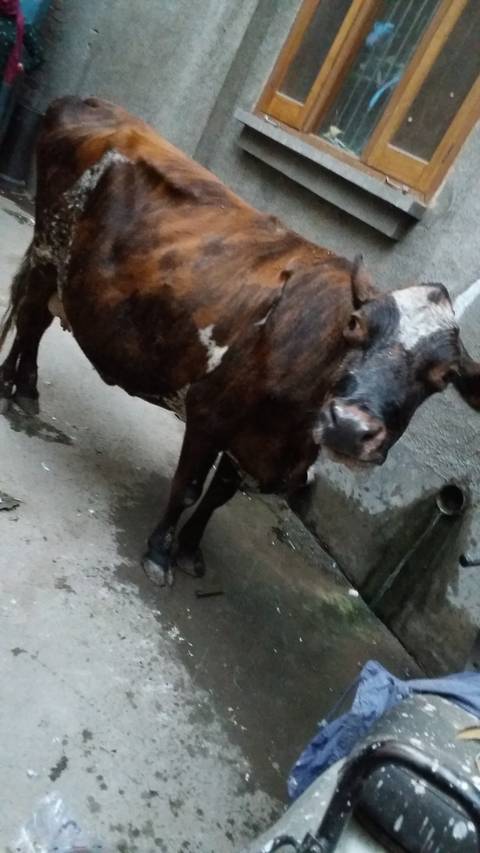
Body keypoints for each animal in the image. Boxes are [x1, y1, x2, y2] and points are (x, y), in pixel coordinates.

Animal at [0, 96, 479, 587]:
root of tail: (84, 102)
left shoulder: (250, 440)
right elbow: (189, 488)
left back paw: (21, 387)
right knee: (31, 318)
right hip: (48, 248)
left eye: (445, 377)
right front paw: (159, 552)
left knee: (32, 319)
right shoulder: (209, 414)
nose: (349, 426)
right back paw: (15, 388)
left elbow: (220, 495)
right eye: (356, 325)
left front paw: (190, 550)